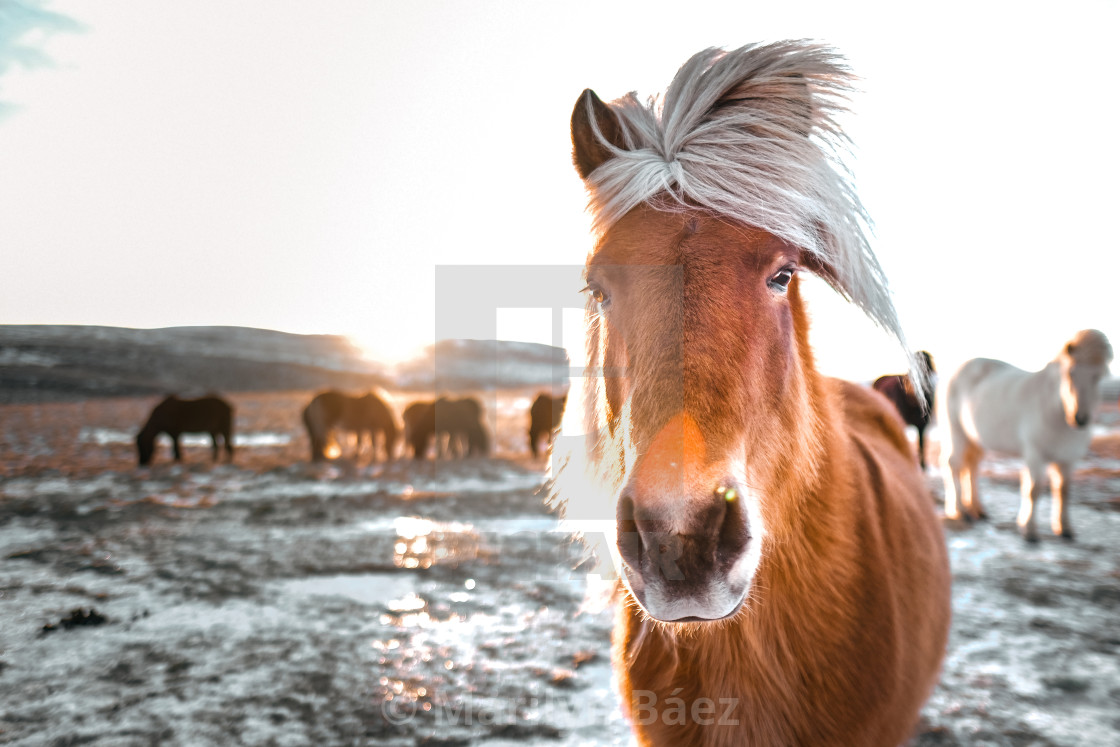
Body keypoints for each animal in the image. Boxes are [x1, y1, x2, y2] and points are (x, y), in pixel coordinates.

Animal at [945, 329, 1111, 539]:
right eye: (1070, 373)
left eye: (1098, 376)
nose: (1079, 419)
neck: (1055, 412)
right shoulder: (1035, 455)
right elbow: (1034, 489)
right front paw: (1029, 531)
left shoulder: (1067, 460)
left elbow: (1063, 491)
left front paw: (1064, 528)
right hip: (956, 431)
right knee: (955, 465)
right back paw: (960, 511)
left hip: (975, 439)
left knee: (971, 466)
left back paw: (977, 510)